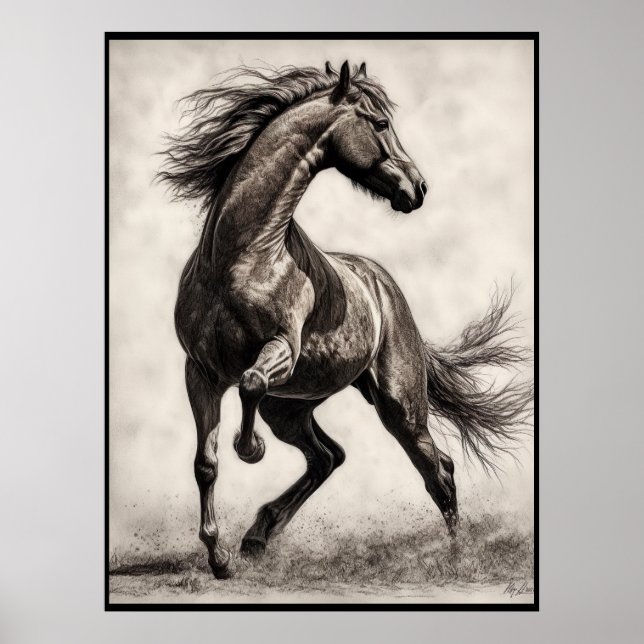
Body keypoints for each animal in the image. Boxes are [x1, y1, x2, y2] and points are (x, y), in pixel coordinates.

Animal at [158, 61, 533, 580]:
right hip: (289, 409)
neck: (240, 257)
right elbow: (206, 464)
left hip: (399, 406)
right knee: (328, 457)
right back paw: (256, 536)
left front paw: (250, 450)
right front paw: (219, 558)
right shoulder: (201, 373)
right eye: (381, 122)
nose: (418, 188)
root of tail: (386, 288)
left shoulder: (280, 349)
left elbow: (251, 382)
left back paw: (459, 558)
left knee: (437, 468)